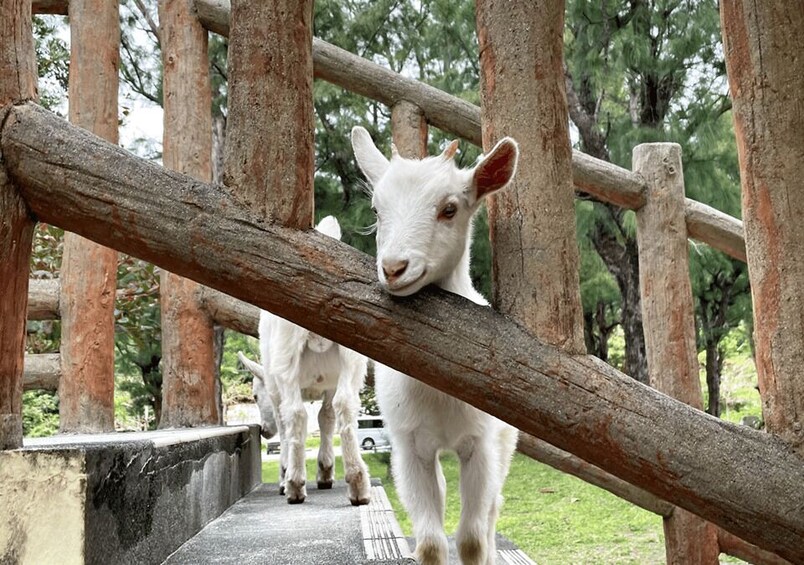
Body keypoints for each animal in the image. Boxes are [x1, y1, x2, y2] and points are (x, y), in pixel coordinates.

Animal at [238, 215, 371, 506]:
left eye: (254, 396)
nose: (263, 431)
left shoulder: (273, 387)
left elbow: (288, 423)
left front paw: (284, 473)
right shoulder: (331, 381)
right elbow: (327, 416)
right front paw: (325, 470)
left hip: (285, 358)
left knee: (294, 413)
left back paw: (294, 483)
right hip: (351, 357)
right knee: (344, 403)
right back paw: (357, 483)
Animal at [351, 127, 520, 565]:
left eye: (449, 209)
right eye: (376, 210)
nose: (394, 268)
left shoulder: (480, 443)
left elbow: (472, 538)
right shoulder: (409, 447)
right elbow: (429, 541)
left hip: (506, 441)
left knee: (493, 508)